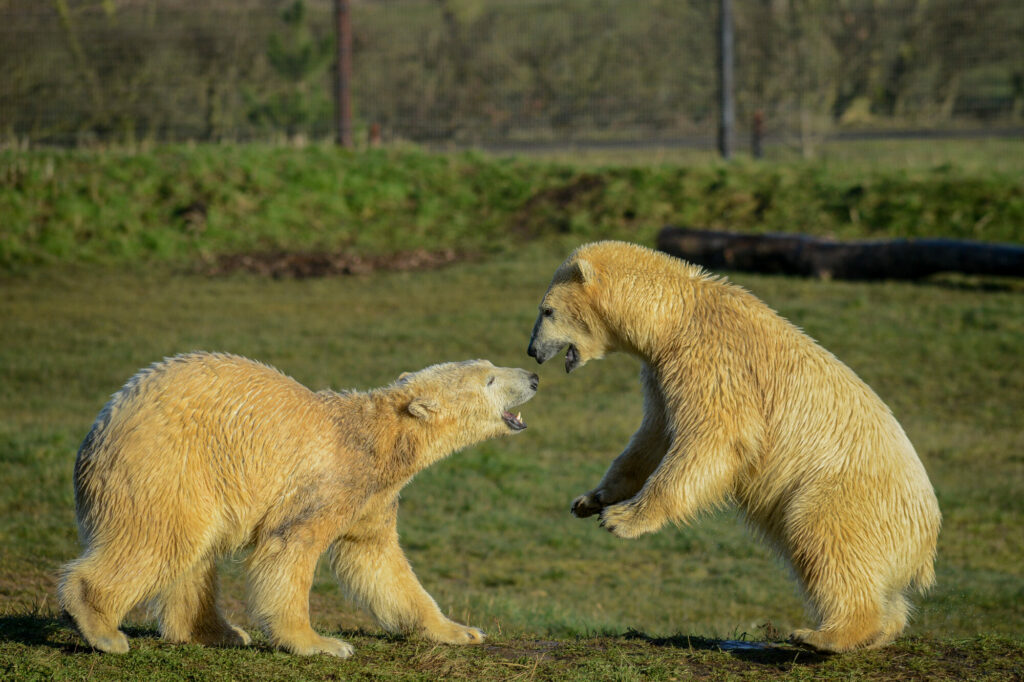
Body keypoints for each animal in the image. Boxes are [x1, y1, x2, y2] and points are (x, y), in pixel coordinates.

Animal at [59, 352, 538, 657]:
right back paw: (103, 630)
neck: (379, 439)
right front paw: (320, 644)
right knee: (159, 540)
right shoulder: (329, 480)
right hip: (169, 464)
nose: (534, 378)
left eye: (490, 366)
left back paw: (219, 632)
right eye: (490, 379)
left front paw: (461, 631)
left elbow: (378, 561)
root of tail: (102, 424)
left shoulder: (373, 496)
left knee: (193, 551)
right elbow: (289, 549)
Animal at [526, 240, 940, 653]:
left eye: (547, 310)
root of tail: (926, 540)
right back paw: (877, 632)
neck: (675, 316)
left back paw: (824, 636)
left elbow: (714, 439)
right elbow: (652, 437)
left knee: (823, 538)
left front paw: (622, 520)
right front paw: (590, 500)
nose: (532, 350)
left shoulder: (713, 361)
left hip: (845, 495)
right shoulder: (661, 375)